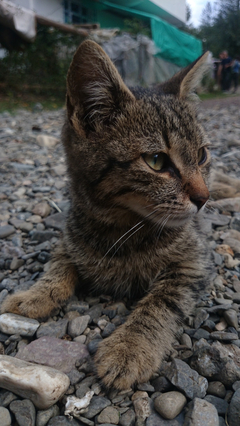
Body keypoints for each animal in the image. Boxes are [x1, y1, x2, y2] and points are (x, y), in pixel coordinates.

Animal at [2, 40, 211, 390]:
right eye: (156, 161)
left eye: (202, 155)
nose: (204, 198)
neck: (119, 227)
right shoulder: (68, 237)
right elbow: (57, 265)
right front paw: (35, 294)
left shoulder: (191, 264)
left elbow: (160, 302)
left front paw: (130, 346)